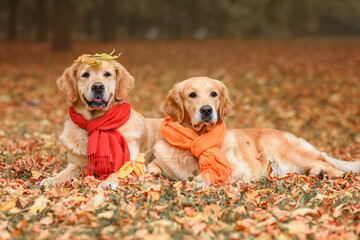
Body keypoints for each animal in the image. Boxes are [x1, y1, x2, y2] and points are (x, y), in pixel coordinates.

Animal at [40, 55, 162, 188]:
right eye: (85, 74)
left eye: (107, 74)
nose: (98, 86)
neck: (97, 122)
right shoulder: (75, 164)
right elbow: (64, 172)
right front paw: (52, 180)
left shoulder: (134, 162)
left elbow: (118, 172)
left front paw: (108, 182)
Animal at [147, 77, 360, 186]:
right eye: (192, 94)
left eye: (213, 93)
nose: (207, 110)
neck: (196, 140)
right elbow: (151, 167)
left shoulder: (235, 168)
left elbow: (203, 177)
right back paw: (318, 173)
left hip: (281, 148)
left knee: (326, 162)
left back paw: (331, 173)